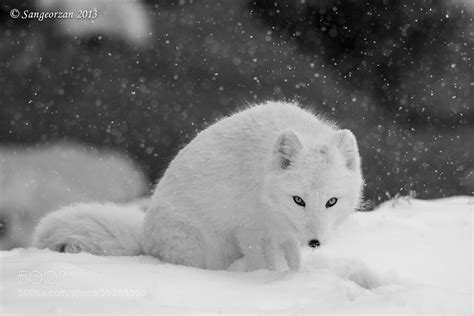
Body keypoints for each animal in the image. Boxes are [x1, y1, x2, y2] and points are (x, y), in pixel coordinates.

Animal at [33, 102, 362, 272]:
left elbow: (293, 260)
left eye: (331, 201)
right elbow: (264, 266)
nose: (315, 242)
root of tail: (145, 237)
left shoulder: (285, 235)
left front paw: (295, 276)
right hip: (201, 247)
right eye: (298, 200)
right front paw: (270, 282)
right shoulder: (251, 231)